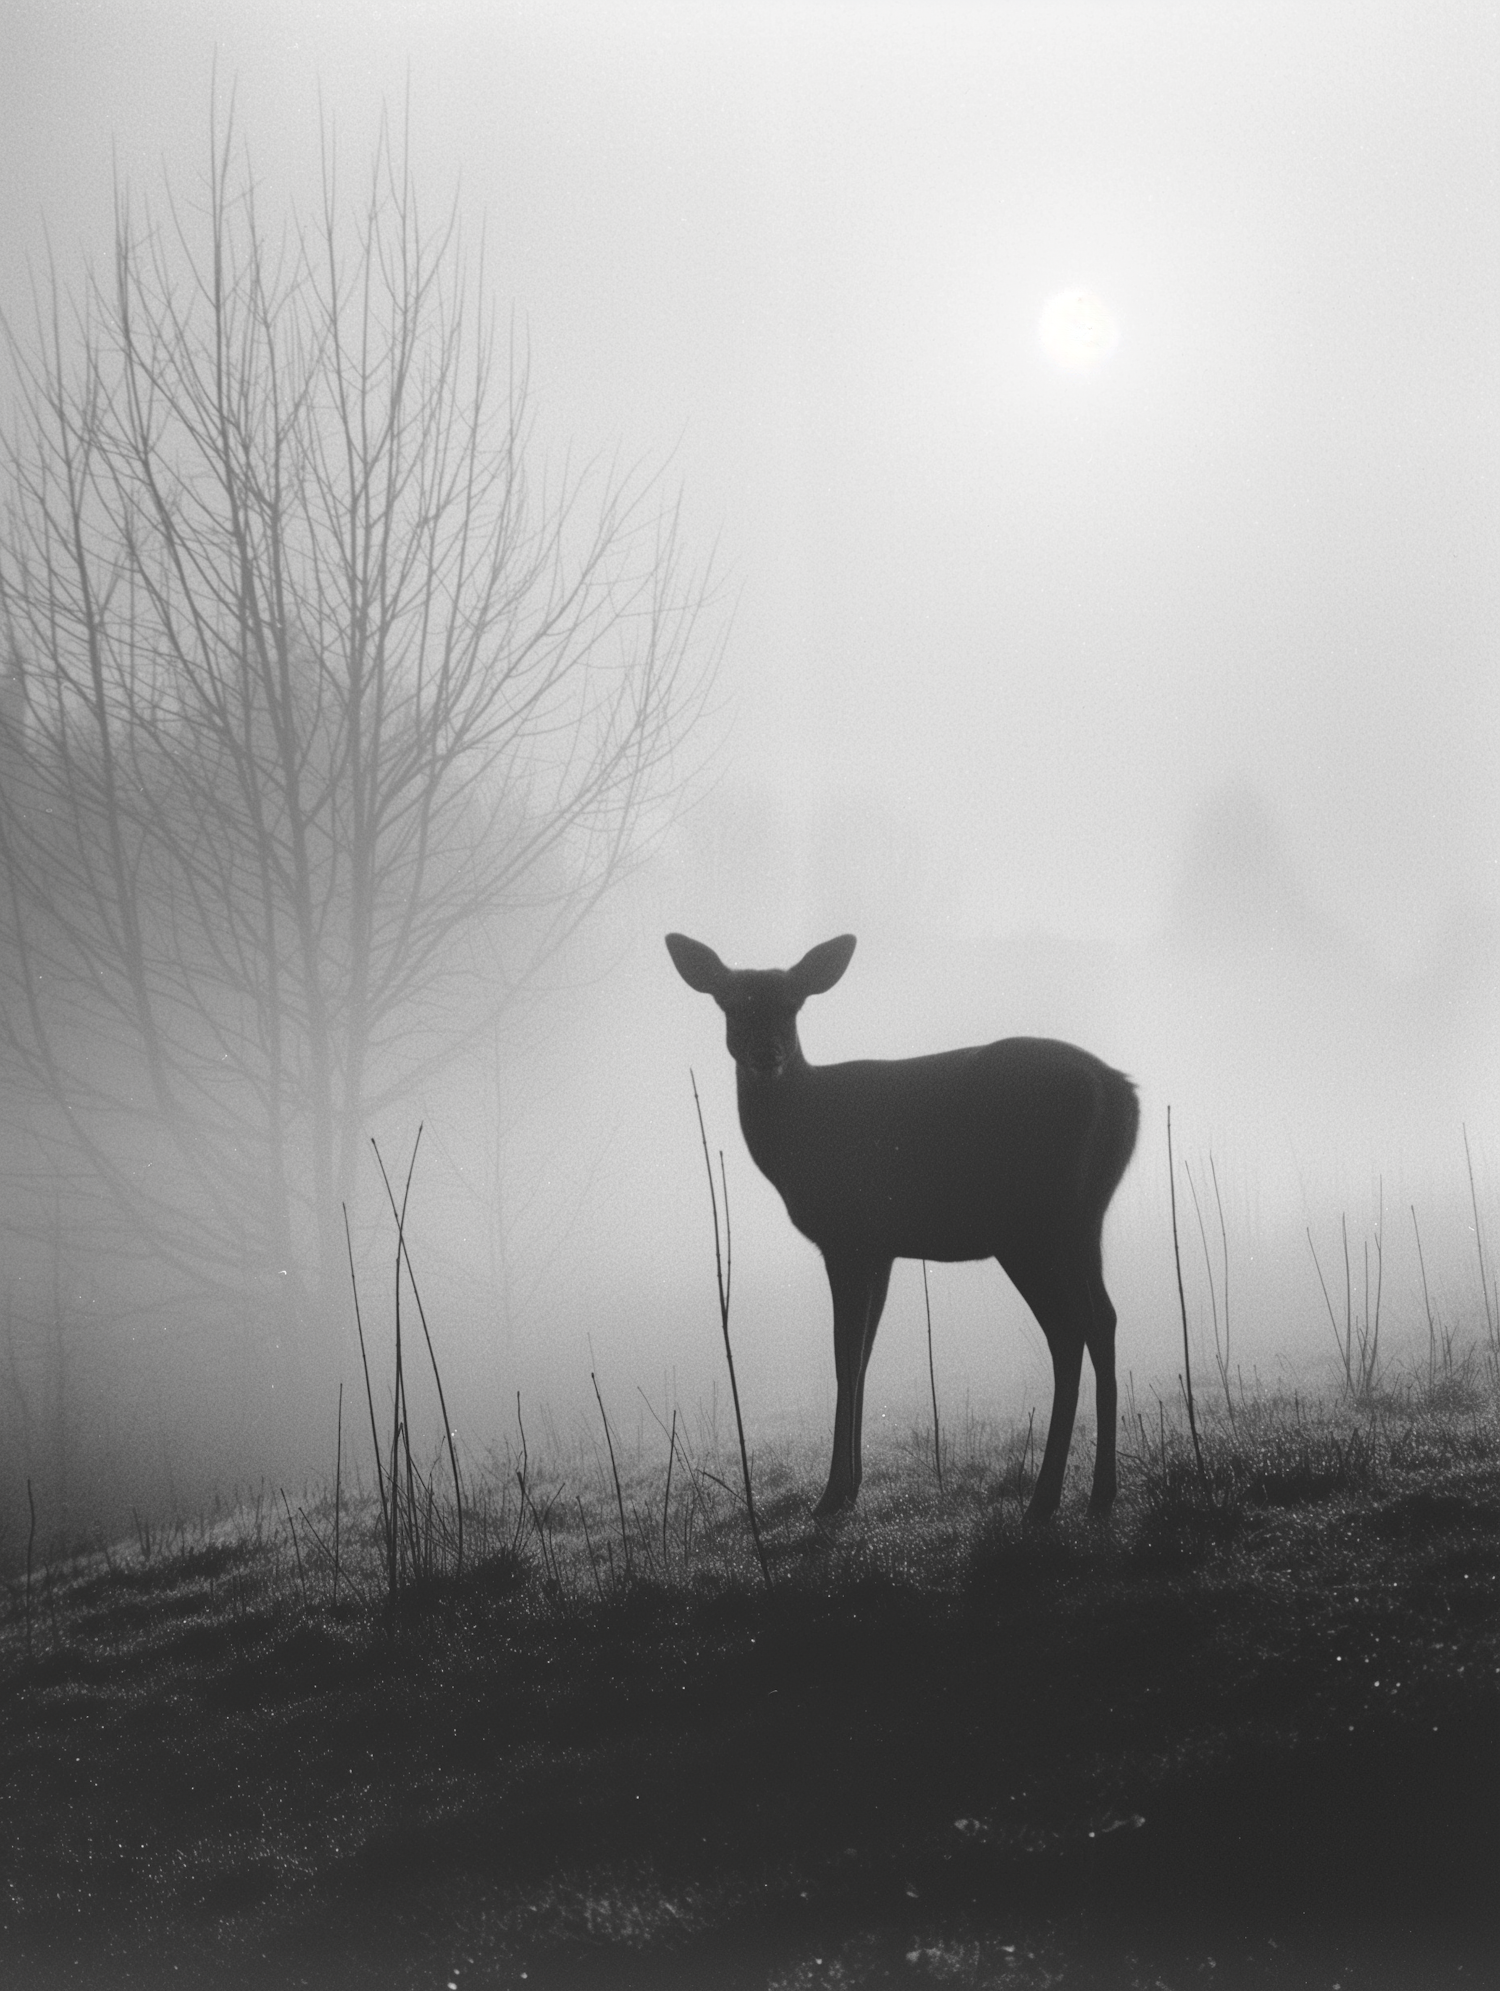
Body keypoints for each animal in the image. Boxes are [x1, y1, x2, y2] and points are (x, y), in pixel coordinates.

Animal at [665, 931, 1131, 1521]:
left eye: (793, 1005)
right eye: (729, 1003)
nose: (766, 1053)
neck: (803, 1135)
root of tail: (1120, 1090)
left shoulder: (845, 1237)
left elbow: (844, 1359)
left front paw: (831, 1494)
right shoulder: (880, 1248)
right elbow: (863, 1356)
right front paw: (852, 1485)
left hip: (1027, 1223)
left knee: (1068, 1331)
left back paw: (1044, 1500)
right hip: (1083, 1220)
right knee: (1102, 1320)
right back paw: (1100, 1493)